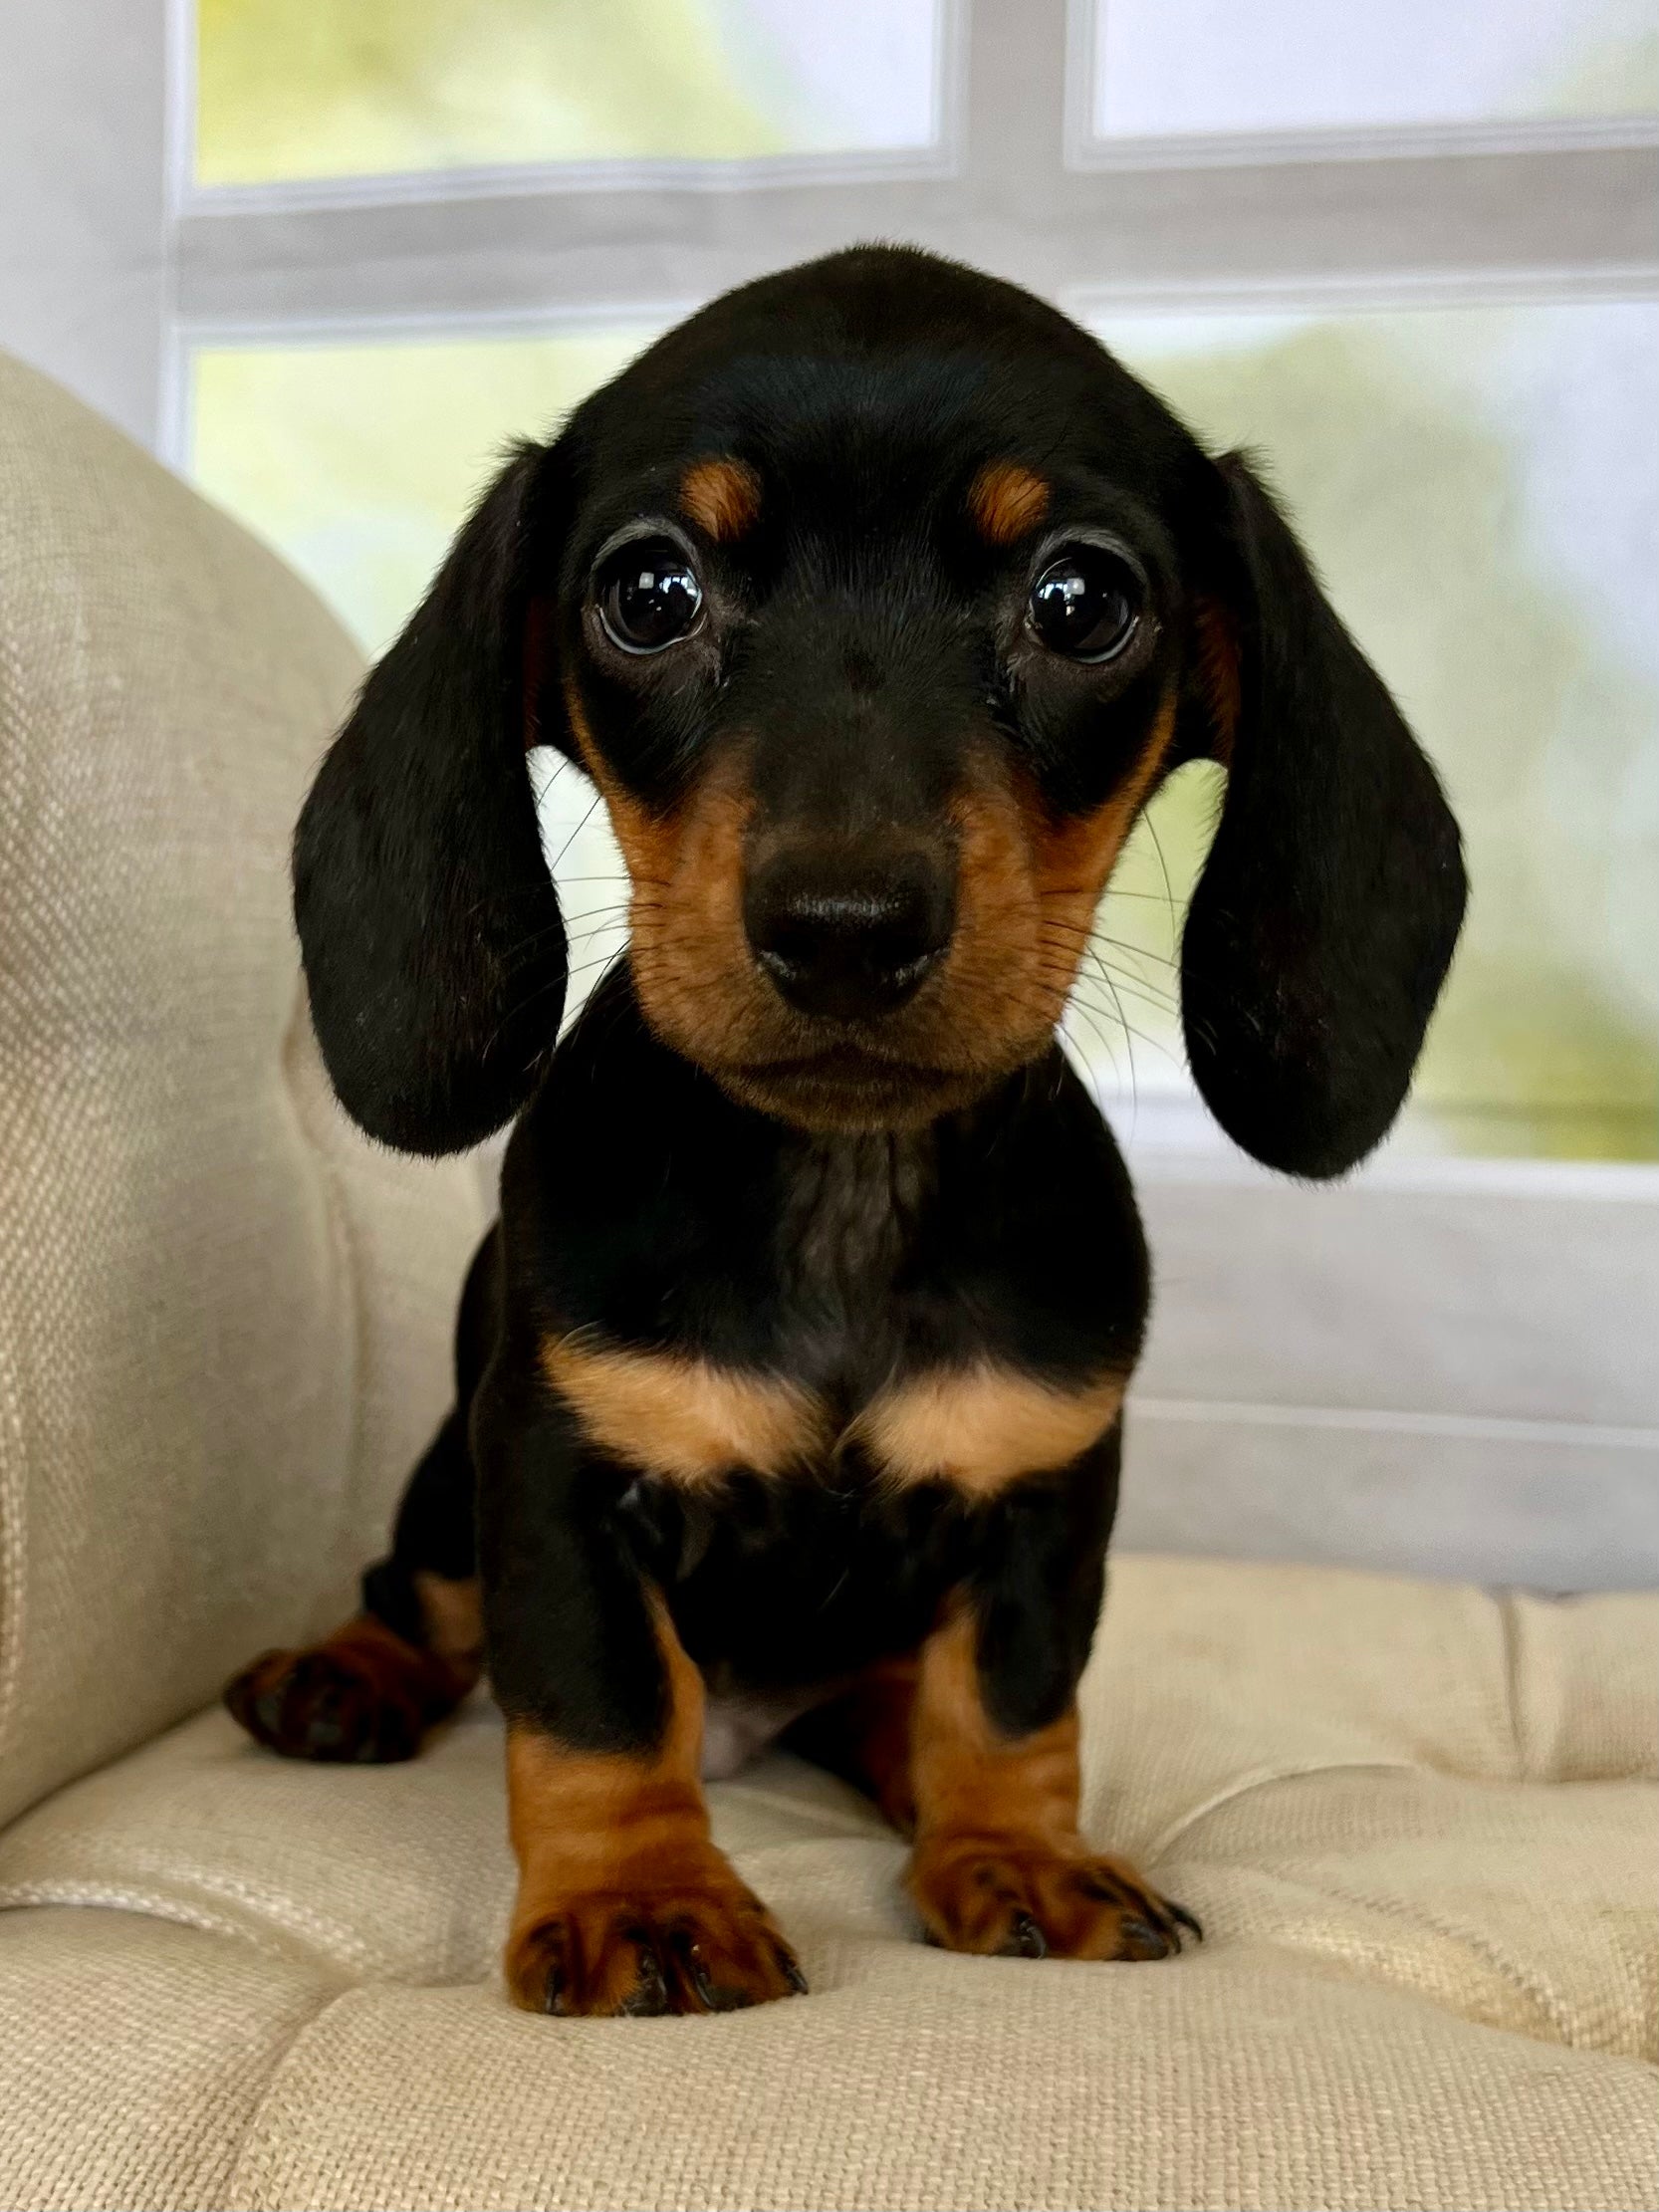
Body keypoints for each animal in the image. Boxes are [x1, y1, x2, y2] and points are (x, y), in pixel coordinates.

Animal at [224, 246, 1468, 2026]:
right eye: (649, 590)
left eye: (1080, 600)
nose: (842, 927)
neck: (840, 1193)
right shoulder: (552, 1475)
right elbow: (600, 1706)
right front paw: (644, 1897)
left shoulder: (1042, 1495)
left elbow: (1006, 1706)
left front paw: (1015, 1851)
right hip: (439, 1487)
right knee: (427, 1603)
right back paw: (345, 1676)